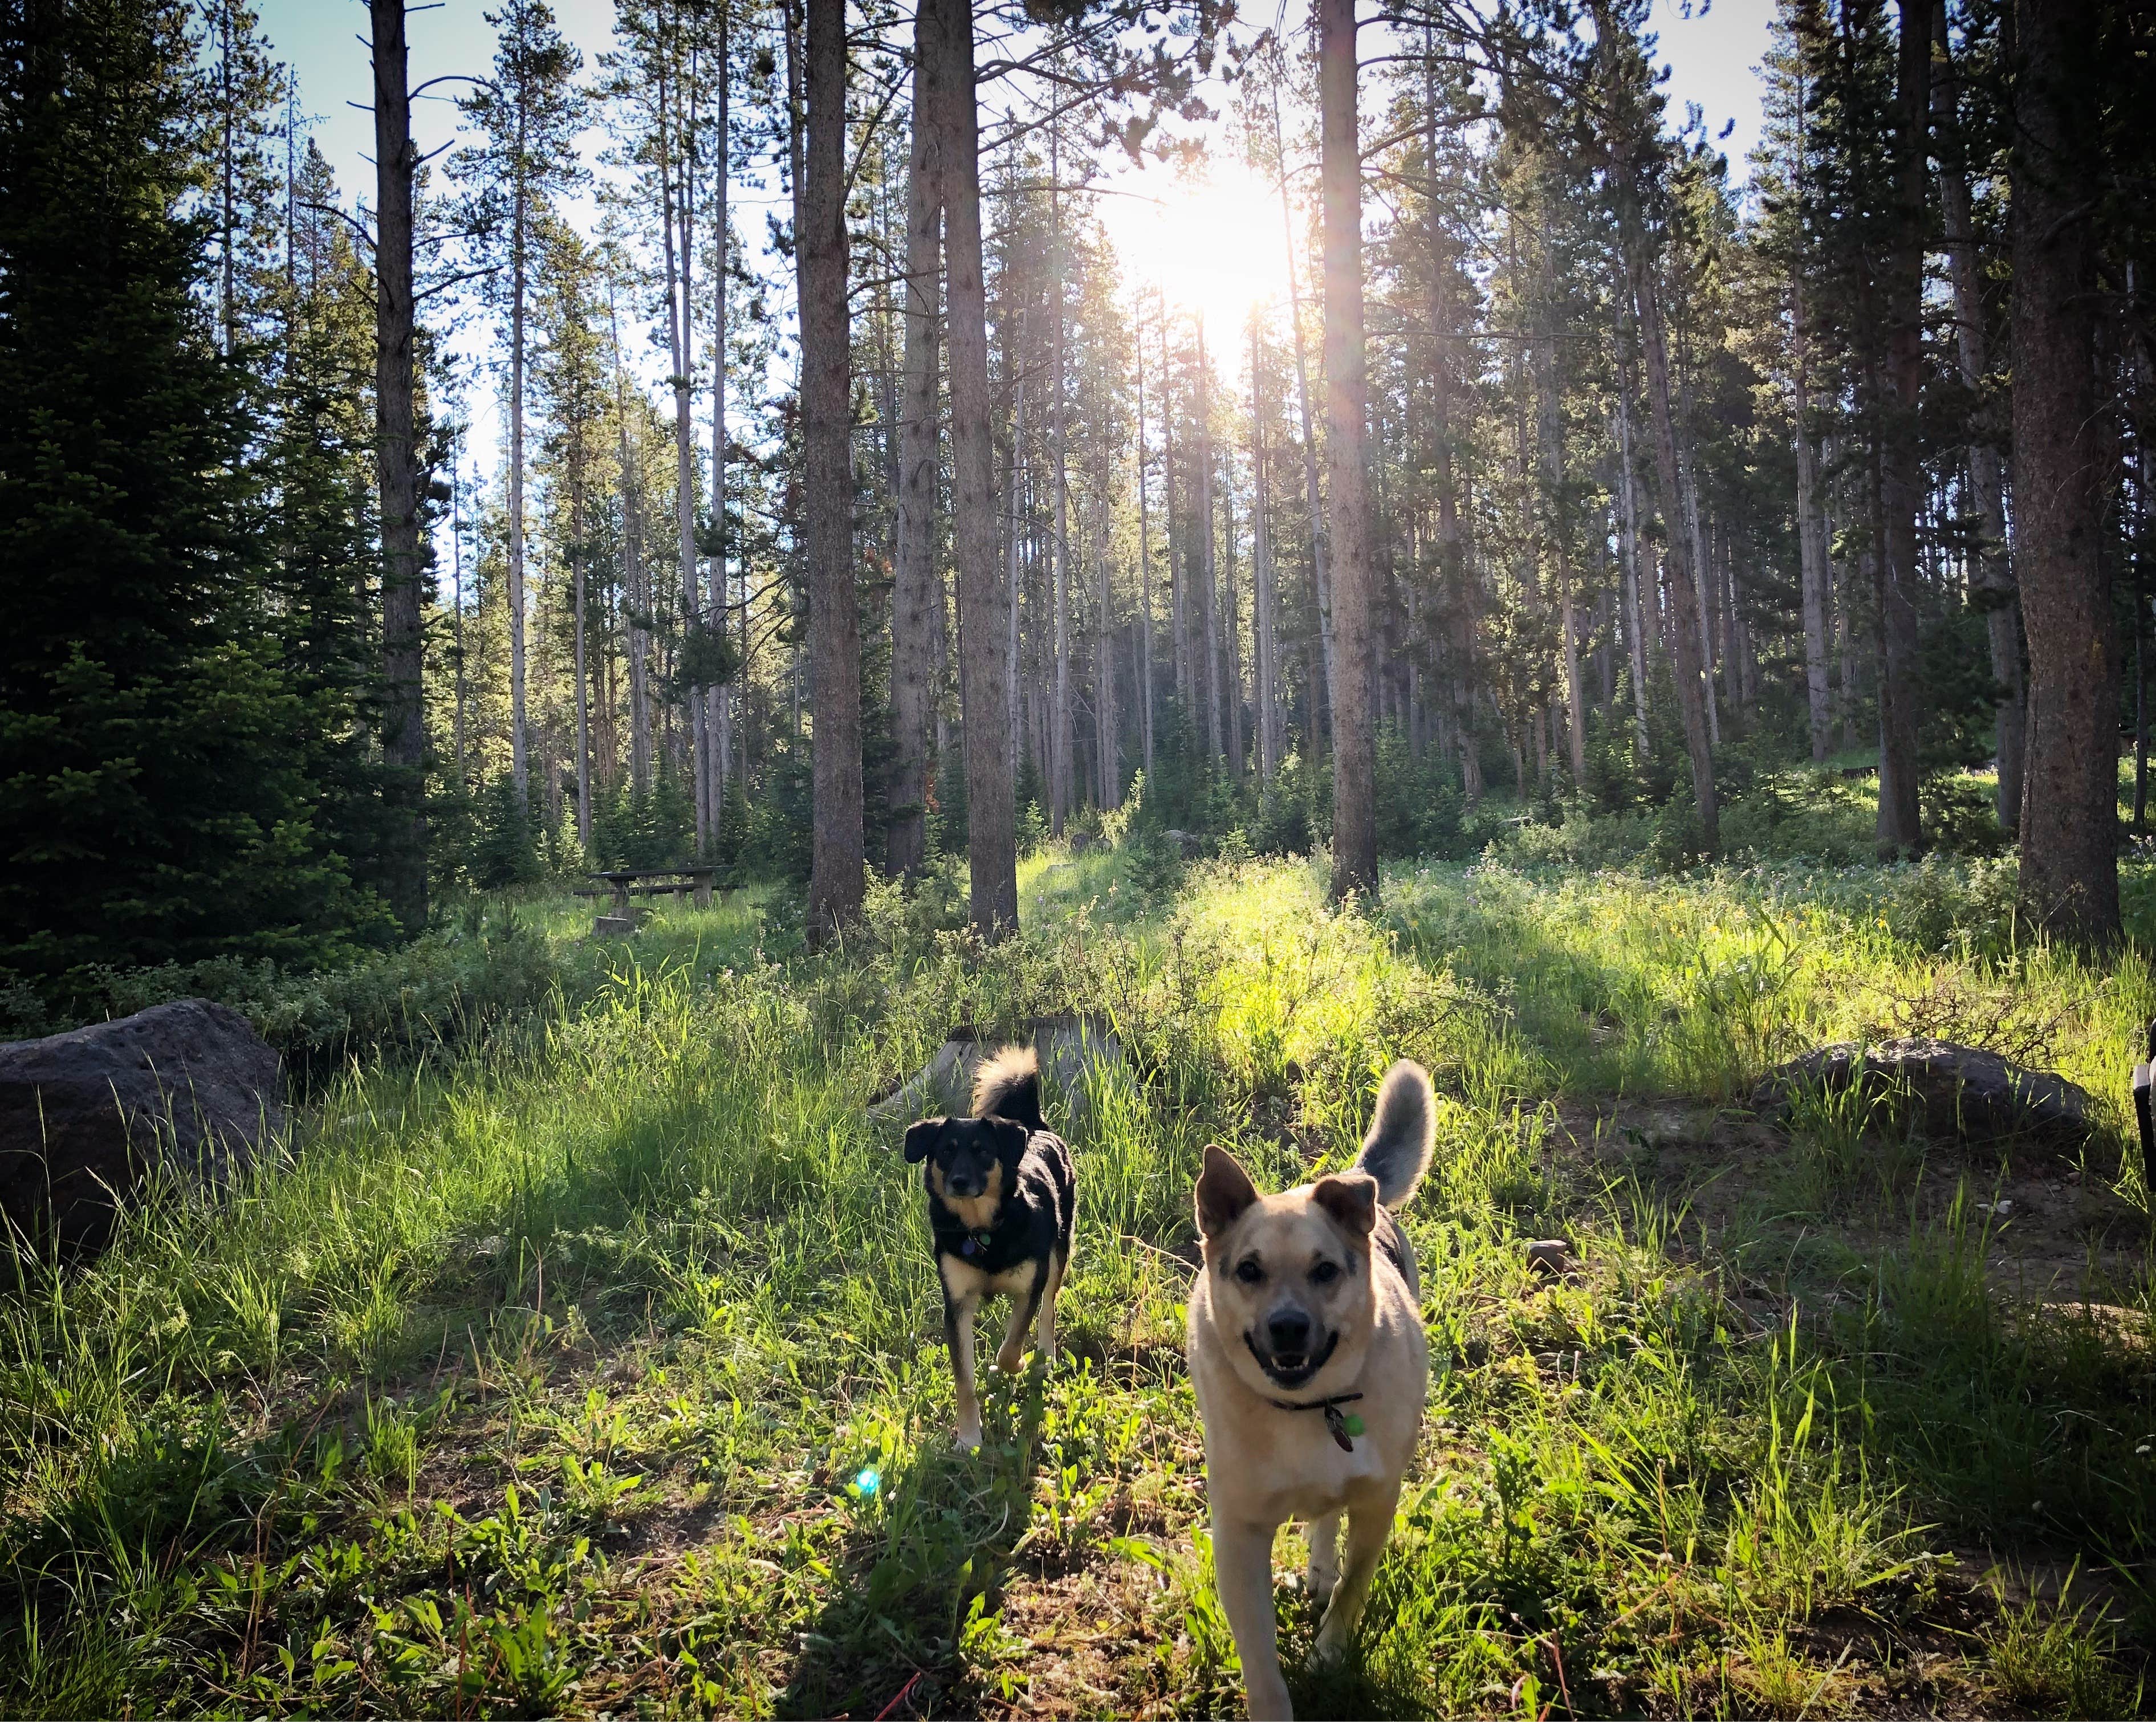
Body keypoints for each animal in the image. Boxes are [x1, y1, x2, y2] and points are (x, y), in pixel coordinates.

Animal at [897, 1043, 1073, 1448]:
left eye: (981, 1151)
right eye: (946, 1152)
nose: (959, 1182)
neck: (982, 1231)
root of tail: (1033, 1126)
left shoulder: (1029, 1287)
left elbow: (1011, 1346)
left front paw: (1015, 1364)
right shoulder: (957, 1304)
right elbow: (964, 1380)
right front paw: (968, 1437)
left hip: (1058, 1254)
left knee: (1049, 1310)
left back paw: (1044, 1356)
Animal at [1190, 1064, 1440, 1722]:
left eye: (1324, 1270)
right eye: (1249, 1270)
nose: (1287, 1327)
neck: (1308, 1409)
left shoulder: (1378, 1500)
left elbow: (1354, 1583)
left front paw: (1329, 1650)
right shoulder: (1239, 1534)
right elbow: (1258, 1656)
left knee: (1329, 1517)